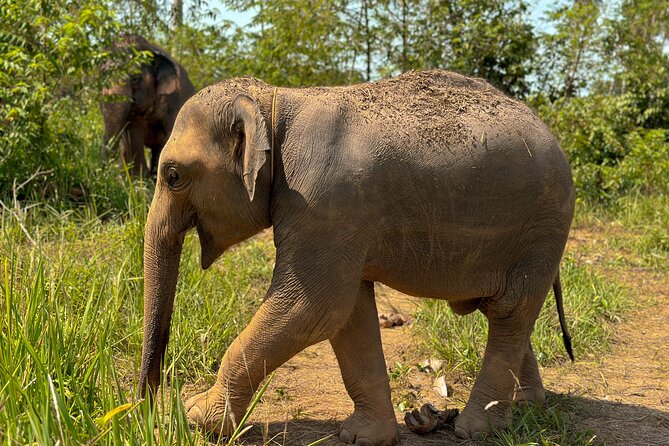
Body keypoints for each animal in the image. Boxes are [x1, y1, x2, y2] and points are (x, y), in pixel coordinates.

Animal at [137, 70, 576, 442]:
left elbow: (314, 306)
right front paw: (363, 437)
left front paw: (195, 415)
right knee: (501, 310)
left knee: (510, 312)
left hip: (543, 229)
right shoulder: (337, 217)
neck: (275, 102)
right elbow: (348, 314)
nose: (144, 408)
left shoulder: (324, 201)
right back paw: (528, 405)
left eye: (172, 176)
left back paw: (478, 429)